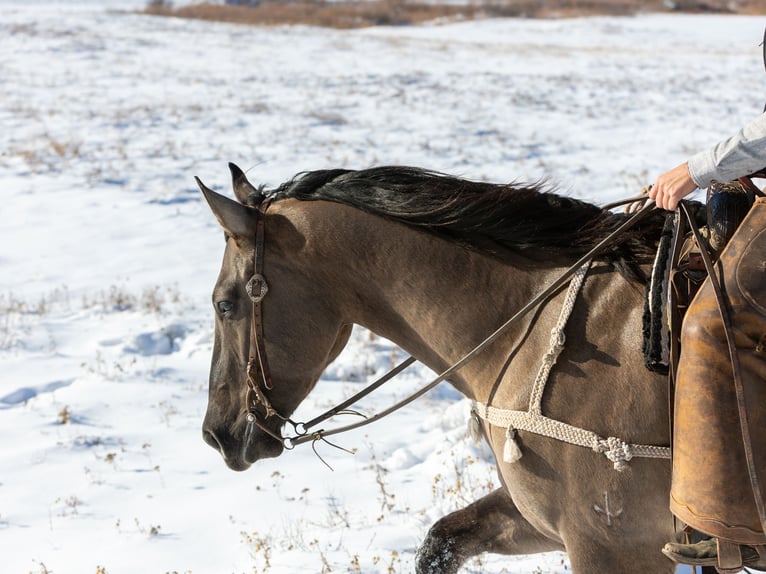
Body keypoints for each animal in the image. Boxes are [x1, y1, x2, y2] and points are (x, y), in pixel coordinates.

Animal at [198, 163, 684, 574]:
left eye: (224, 304)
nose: (214, 435)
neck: (532, 326)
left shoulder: (611, 545)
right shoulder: (536, 518)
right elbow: (441, 541)